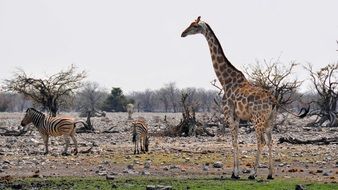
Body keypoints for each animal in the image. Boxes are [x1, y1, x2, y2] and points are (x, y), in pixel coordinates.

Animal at [181, 16, 276, 180]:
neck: (225, 81)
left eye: (194, 26)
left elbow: (234, 143)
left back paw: (253, 174)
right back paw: (270, 174)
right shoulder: (237, 116)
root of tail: (273, 100)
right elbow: (236, 142)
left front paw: (235, 173)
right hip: (269, 120)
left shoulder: (229, 114)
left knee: (261, 141)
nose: (182, 33)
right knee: (270, 141)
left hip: (258, 119)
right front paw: (236, 172)